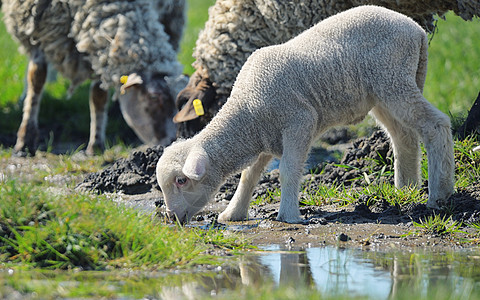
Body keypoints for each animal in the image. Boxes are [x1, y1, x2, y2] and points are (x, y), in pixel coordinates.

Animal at [1, 0, 186, 155]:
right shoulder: (36, 24)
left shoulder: (97, 42)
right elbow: (37, 79)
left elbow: (98, 95)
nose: (172, 141)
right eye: (154, 97)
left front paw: (96, 146)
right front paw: (25, 140)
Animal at [156, 5, 456, 224]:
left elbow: (288, 171)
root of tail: (415, 29)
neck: (247, 110)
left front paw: (288, 216)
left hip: (393, 79)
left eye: (181, 181)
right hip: (384, 91)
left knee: (436, 125)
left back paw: (439, 194)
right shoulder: (266, 136)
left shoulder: (299, 122)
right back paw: (405, 190)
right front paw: (234, 213)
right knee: (404, 136)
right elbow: (248, 176)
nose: (171, 218)